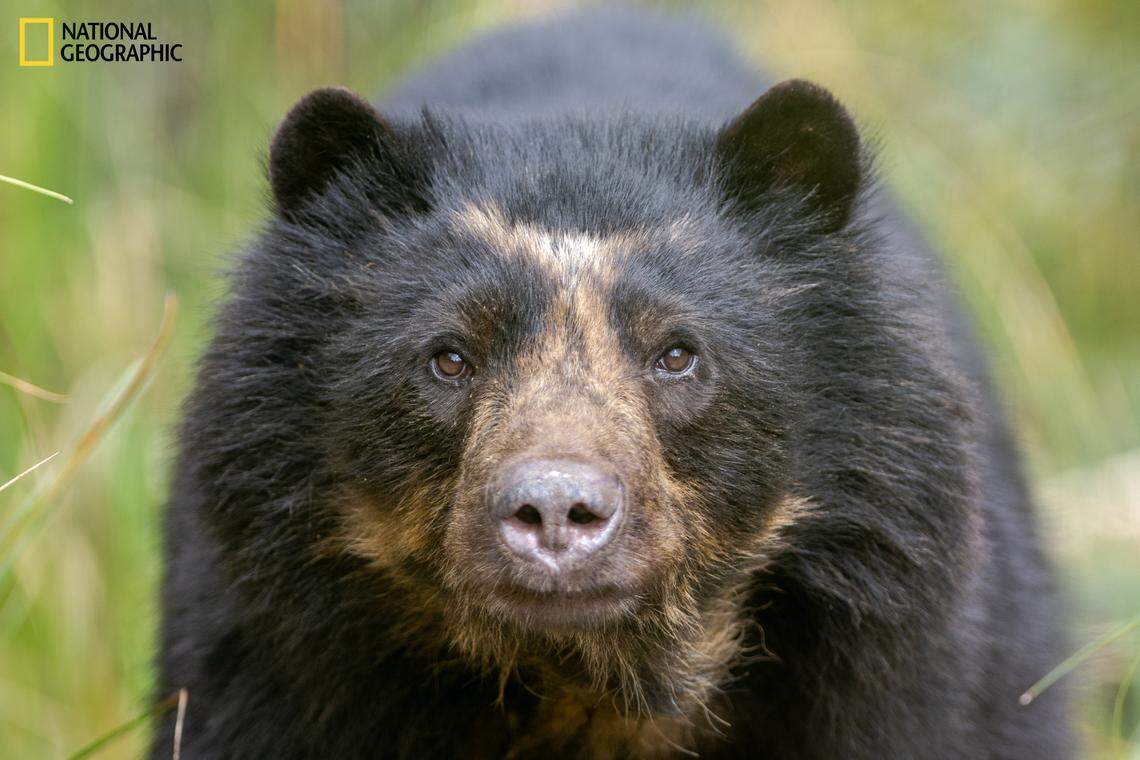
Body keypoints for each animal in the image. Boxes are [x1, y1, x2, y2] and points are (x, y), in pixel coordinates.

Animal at [152, 8, 1072, 759]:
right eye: (448, 358)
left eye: (678, 355)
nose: (556, 510)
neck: (590, 683)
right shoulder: (268, 665)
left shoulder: (917, 664)